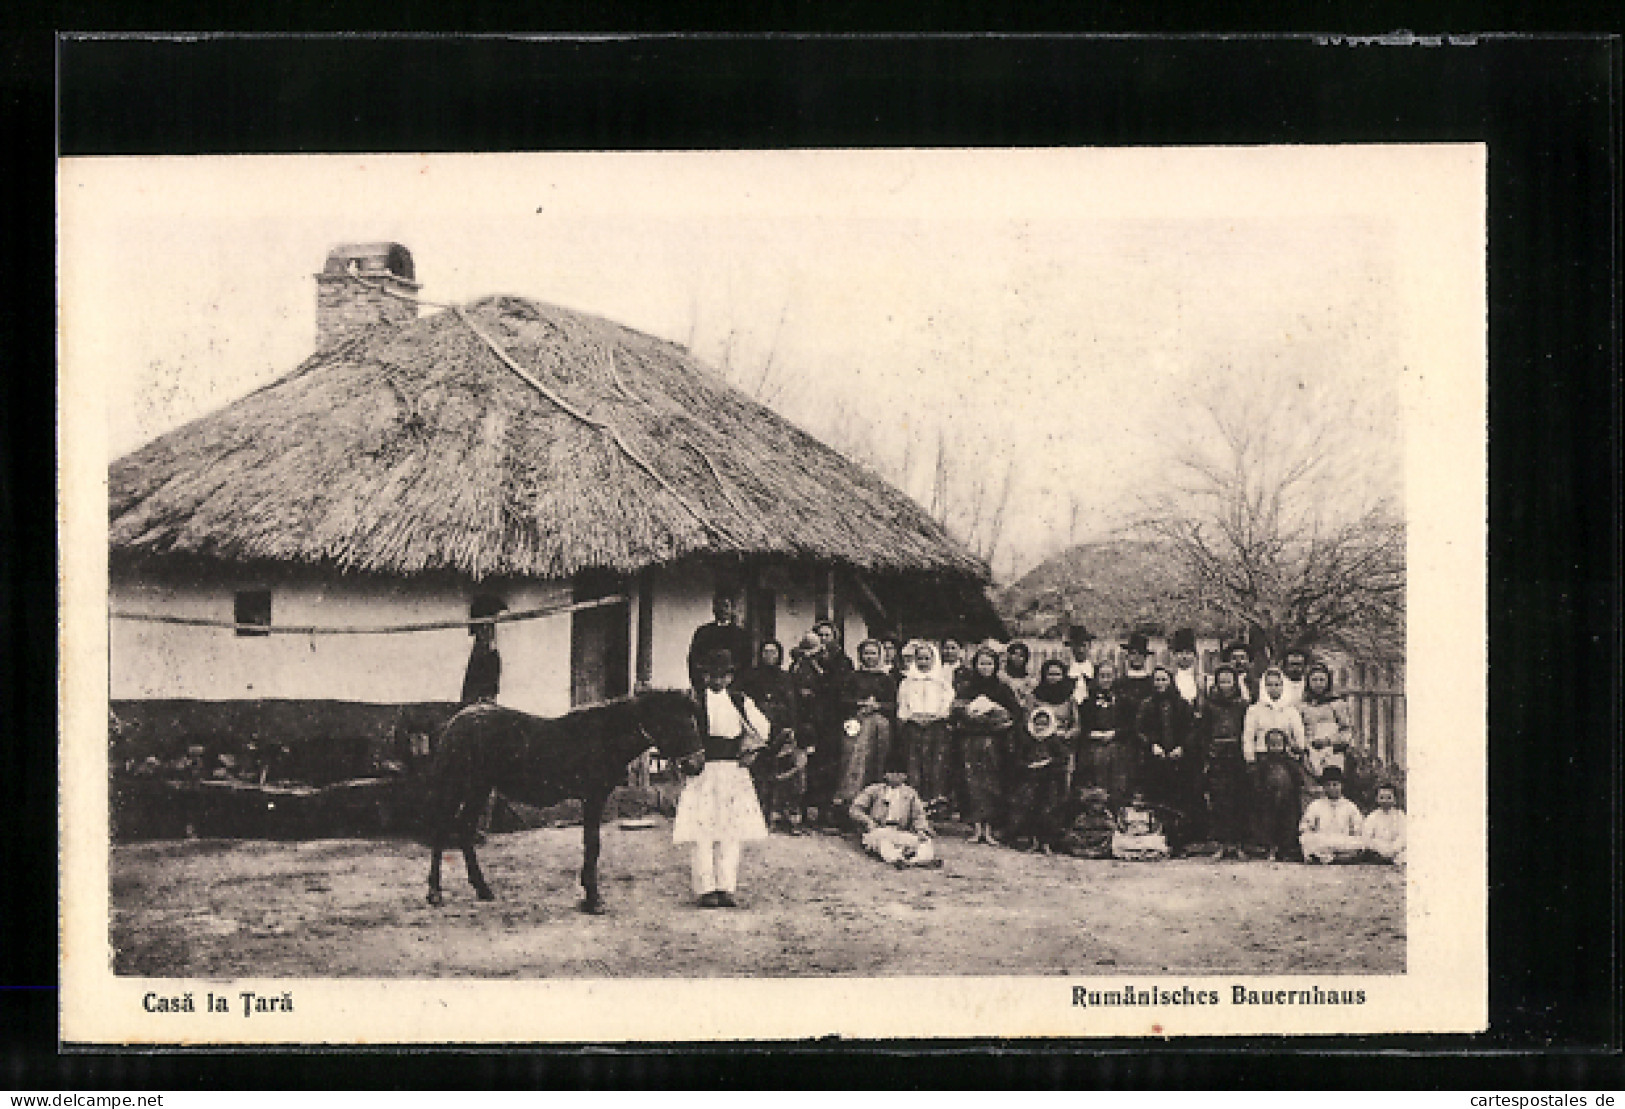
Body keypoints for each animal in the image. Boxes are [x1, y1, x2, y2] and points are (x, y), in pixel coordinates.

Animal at [422, 686, 702, 910]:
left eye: (694, 722)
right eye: (681, 724)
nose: (697, 765)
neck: (605, 736)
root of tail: (457, 721)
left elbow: (591, 844)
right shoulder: (594, 796)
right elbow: (593, 844)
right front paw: (593, 898)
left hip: (479, 788)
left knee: (464, 829)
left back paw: (482, 889)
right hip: (461, 785)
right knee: (442, 830)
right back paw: (435, 893)